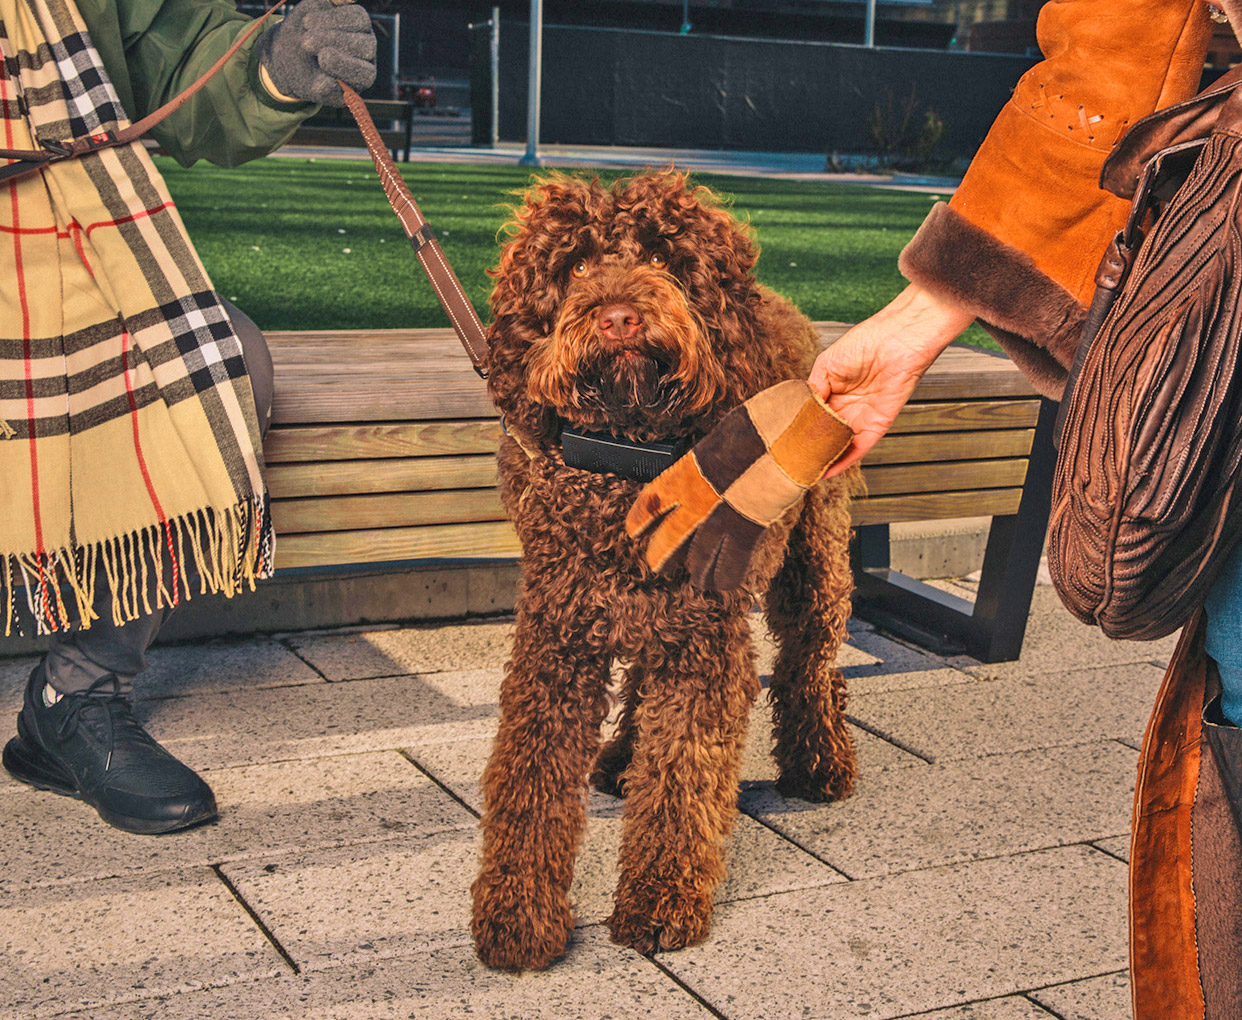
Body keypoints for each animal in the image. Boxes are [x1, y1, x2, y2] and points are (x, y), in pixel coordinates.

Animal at [469, 172, 859, 969]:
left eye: (662, 259)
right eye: (575, 266)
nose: (619, 317)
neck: (627, 462)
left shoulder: (705, 648)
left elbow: (683, 776)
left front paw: (660, 902)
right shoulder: (556, 639)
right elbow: (530, 776)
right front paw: (517, 916)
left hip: (814, 562)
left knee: (810, 662)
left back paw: (818, 762)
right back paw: (622, 759)